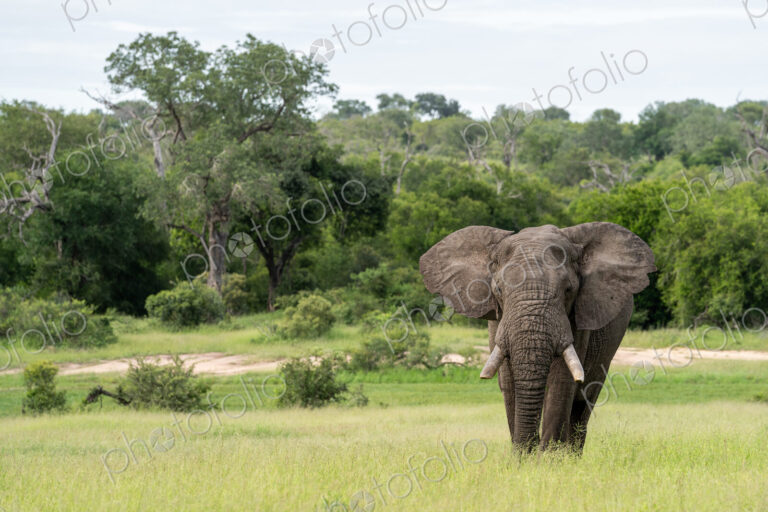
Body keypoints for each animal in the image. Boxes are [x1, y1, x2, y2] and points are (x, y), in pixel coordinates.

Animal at [419, 222, 655, 451]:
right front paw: (523, 457)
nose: (530, 449)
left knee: (584, 401)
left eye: (568, 290)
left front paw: (548, 459)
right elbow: (509, 382)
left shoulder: (577, 322)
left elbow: (562, 381)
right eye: (498, 290)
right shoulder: (499, 324)